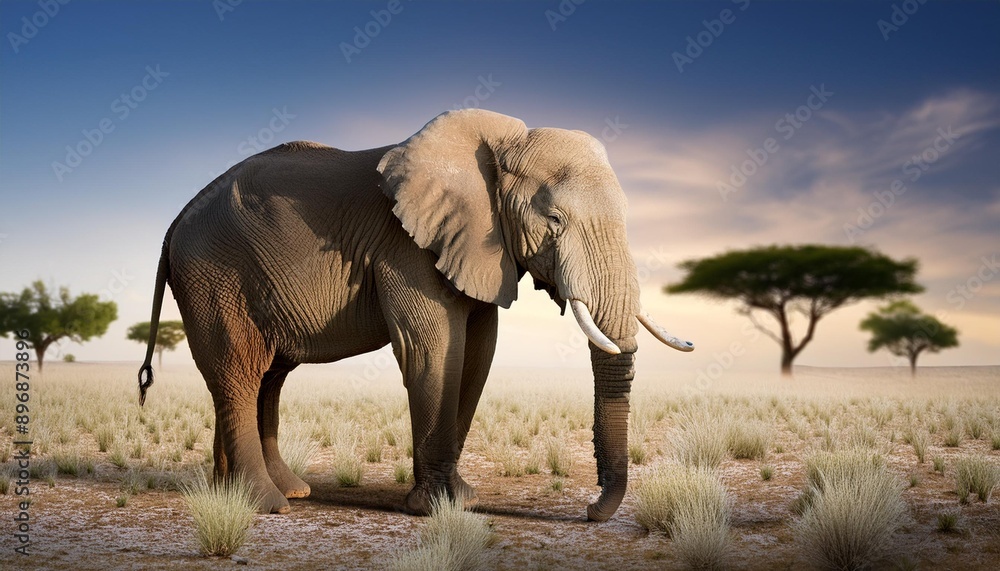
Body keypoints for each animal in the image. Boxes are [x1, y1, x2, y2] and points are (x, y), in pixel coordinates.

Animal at [136, 109, 693, 521]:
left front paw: (462, 499)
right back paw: (266, 504)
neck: (500, 144)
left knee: (268, 376)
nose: (591, 510)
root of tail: (174, 222)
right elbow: (433, 350)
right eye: (554, 220)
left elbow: (478, 353)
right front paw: (437, 508)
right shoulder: (406, 246)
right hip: (214, 276)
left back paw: (269, 491)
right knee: (240, 370)